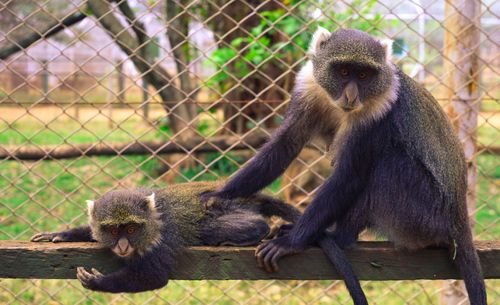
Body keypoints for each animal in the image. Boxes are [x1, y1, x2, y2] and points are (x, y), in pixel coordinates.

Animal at [202, 27, 484, 302]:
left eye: (364, 75)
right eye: (344, 71)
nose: (351, 95)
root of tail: (459, 220)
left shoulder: (379, 113)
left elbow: (349, 176)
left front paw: (292, 242)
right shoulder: (308, 88)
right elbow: (284, 145)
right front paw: (221, 194)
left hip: (422, 217)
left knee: (386, 166)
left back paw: (338, 237)